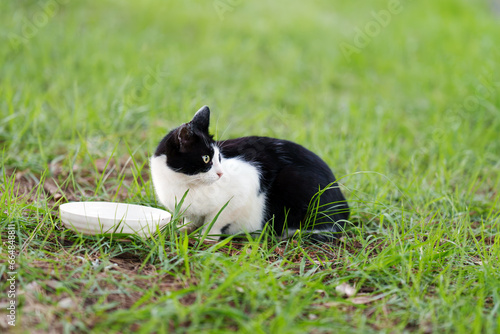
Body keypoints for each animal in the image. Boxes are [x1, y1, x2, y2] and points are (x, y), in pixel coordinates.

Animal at [150, 105, 350, 241]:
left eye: (219, 157)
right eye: (206, 159)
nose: (221, 174)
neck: (186, 184)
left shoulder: (241, 193)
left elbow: (215, 220)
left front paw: (205, 238)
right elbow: (192, 220)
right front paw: (183, 229)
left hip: (296, 181)